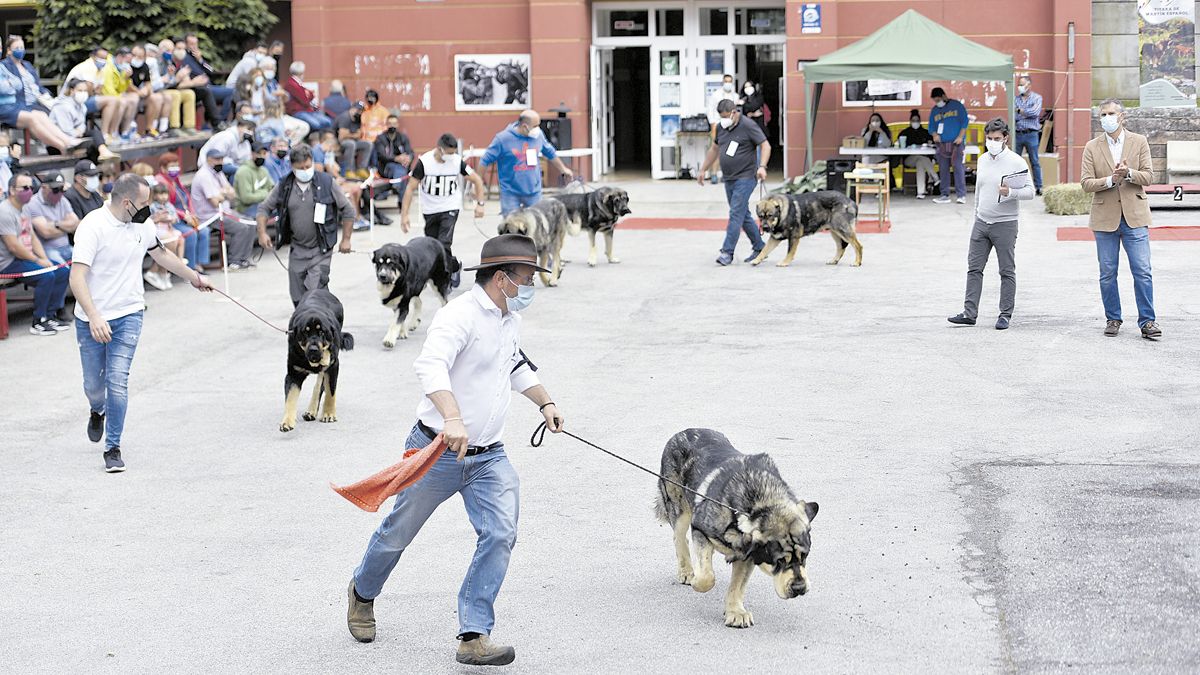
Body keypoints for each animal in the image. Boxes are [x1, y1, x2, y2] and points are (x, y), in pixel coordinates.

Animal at [282, 289, 352, 429]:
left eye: (322, 332)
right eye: (305, 332)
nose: (313, 349)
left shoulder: (333, 367)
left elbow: (330, 391)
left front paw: (328, 414)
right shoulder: (293, 374)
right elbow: (290, 398)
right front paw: (287, 421)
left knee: (320, 384)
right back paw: (311, 411)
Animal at [657, 427, 816, 629]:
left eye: (805, 556)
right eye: (778, 561)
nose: (799, 588)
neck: (758, 503)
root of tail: (684, 431)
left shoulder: (748, 556)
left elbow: (737, 586)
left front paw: (736, 612)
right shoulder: (700, 529)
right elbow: (707, 577)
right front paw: (697, 582)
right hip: (678, 507)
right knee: (679, 537)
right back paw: (686, 571)